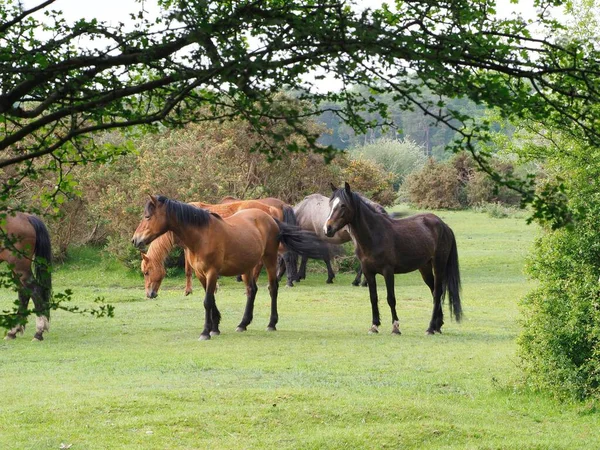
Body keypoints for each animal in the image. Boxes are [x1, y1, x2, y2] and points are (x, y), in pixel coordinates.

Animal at [0, 211, 51, 342]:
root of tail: (26, 217)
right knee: (24, 292)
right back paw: (13, 331)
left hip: (20, 267)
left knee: (34, 290)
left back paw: (38, 332)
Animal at [326, 182, 462, 334]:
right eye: (331, 203)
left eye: (343, 205)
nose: (328, 228)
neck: (374, 235)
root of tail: (444, 226)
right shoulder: (368, 272)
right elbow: (373, 297)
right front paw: (374, 326)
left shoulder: (388, 271)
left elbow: (391, 298)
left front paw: (395, 327)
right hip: (425, 268)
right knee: (434, 292)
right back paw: (438, 325)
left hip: (439, 265)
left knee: (437, 293)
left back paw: (431, 328)